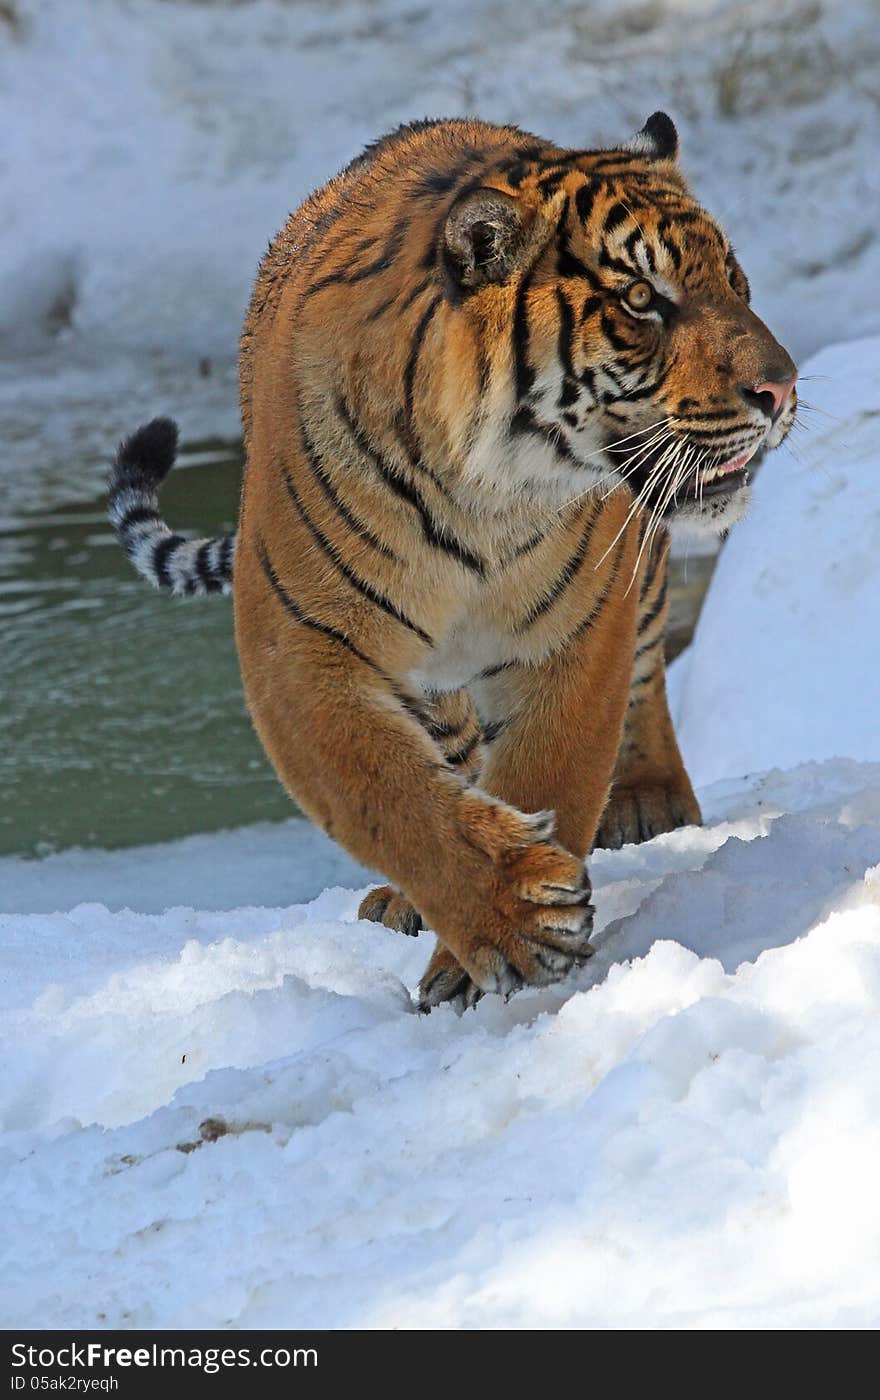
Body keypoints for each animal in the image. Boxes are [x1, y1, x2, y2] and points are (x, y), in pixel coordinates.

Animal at [108, 109, 794, 1008]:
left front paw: (511, 936)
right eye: (642, 300)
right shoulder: (298, 645)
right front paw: (515, 919)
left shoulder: (577, 632)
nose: (781, 390)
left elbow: (551, 766)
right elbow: (385, 792)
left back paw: (650, 801)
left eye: (736, 283)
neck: (487, 497)